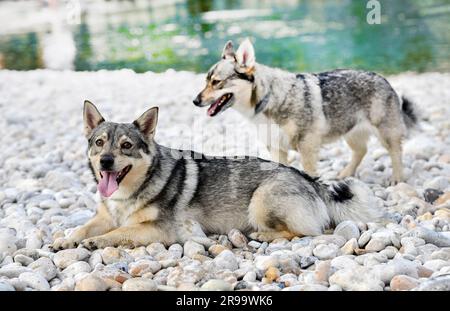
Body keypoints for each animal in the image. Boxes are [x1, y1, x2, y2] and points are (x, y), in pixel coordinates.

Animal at [192, 39, 416, 185]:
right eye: (205, 81)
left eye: (216, 82)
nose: (195, 101)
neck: (270, 99)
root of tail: (383, 78)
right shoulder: (276, 148)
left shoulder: (307, 147)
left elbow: (309, 172)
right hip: (350, 133)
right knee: (361, 151)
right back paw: (345, 174)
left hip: (385, 134)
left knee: (396, 152)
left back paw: (397, 178)